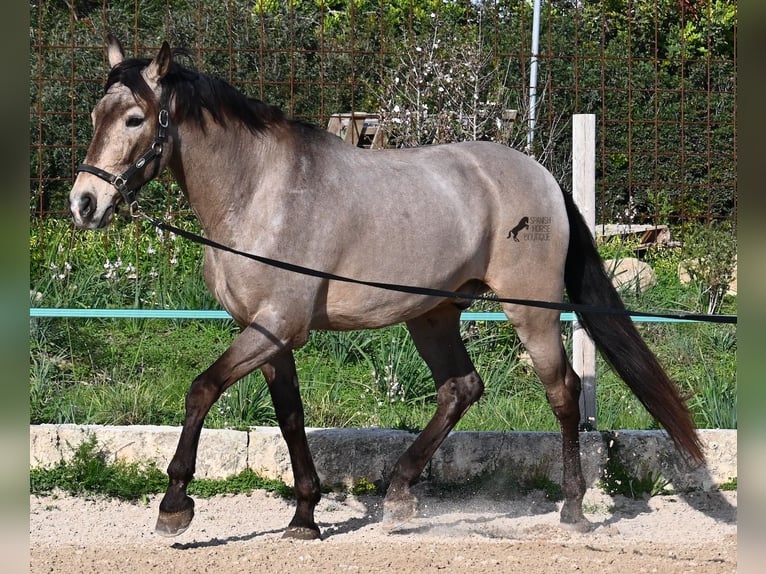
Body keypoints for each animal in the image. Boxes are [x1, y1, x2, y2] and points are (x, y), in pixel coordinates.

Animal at [69, 38, 704, 544]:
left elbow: (201, 390)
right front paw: (304, 517)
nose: (85, 204)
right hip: (434, 314)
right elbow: (290, 417)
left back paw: (572, 508)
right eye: (97, 113)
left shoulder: (275, 326)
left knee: (563, 392)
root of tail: (542, 176)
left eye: (134, 119)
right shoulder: (268, 333)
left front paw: (175, 506)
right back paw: (398, 494)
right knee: (461, 388)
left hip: (532, 313)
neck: (260, 194)